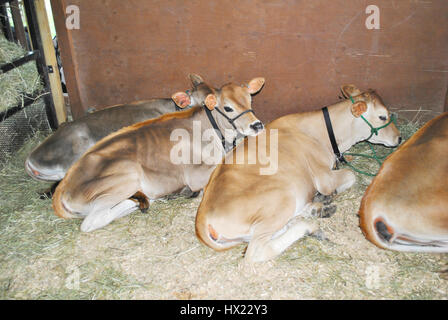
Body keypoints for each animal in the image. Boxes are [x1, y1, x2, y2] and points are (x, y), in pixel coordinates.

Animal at [194, 84, 400, 262]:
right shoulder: (323, 177)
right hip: (282, 197)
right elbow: (351, 175)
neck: (323, 134)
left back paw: (317, 209)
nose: (399, 138)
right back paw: (308, 224)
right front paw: (328, 194)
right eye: (383, 116)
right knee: (257, 250)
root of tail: (202, 218)